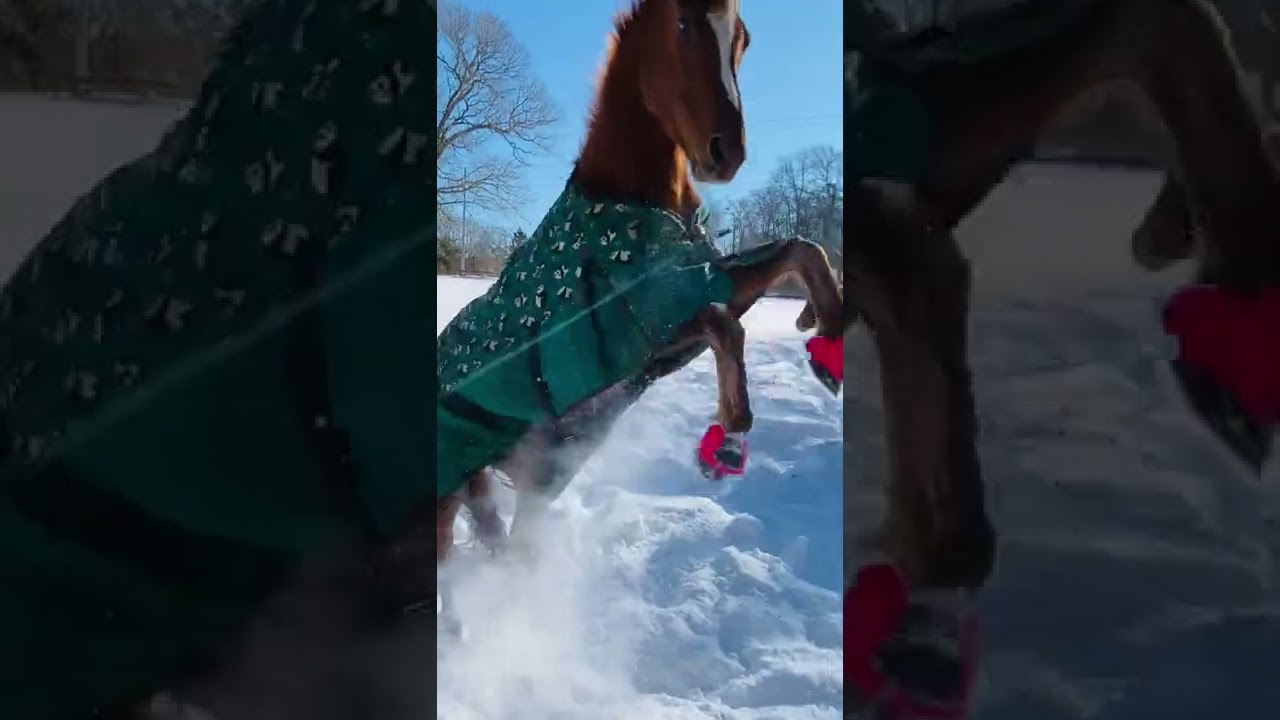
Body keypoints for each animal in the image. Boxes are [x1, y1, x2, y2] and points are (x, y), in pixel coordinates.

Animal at [433, 0, 845, 574]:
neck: (634, 200)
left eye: (742, 37)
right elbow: (727, 326)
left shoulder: (701, 285)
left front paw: (825, 343)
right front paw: (728, 444)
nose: (726, 154)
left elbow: (803, 251)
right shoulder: (649, 321)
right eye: (684, 24)